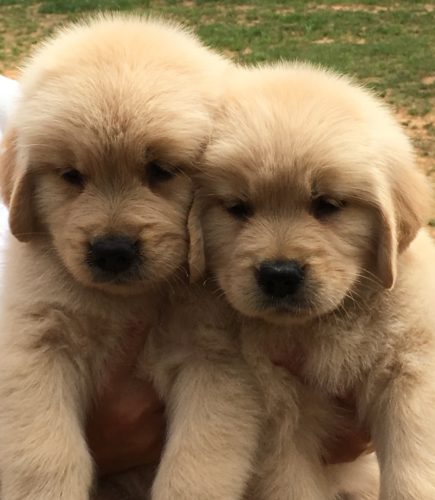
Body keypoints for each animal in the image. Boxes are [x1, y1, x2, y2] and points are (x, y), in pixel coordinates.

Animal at [0, 13, 262, 498]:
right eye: (71, 175)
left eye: (160, 170)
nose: (112, 251)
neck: (129, 301)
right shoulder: (34, 345)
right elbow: (46, 454)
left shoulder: (215, 361)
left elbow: (197, 467)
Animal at [196, 63, 435, 500]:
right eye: (238, 208)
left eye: (328, 205)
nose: (279, 275)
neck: (323, 324)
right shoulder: (277, 413)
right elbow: (291, 483)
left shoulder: (409, 368)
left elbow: (413, 468)